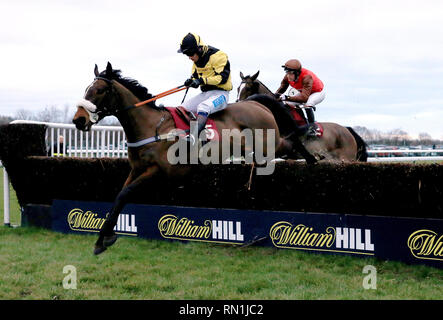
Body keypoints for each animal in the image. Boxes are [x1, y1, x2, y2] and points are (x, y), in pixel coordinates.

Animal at [73, 61, 306, 254]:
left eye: (99, 90)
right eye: (86, 89)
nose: (78, 120)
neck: (151, 126)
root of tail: (256, 104)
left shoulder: (159, 172)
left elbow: (125, 194)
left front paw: (104, 238)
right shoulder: (137, 169)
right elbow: (118, 198)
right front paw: (103, 239)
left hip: (271, 145)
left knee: (292, 143)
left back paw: (311, 155)